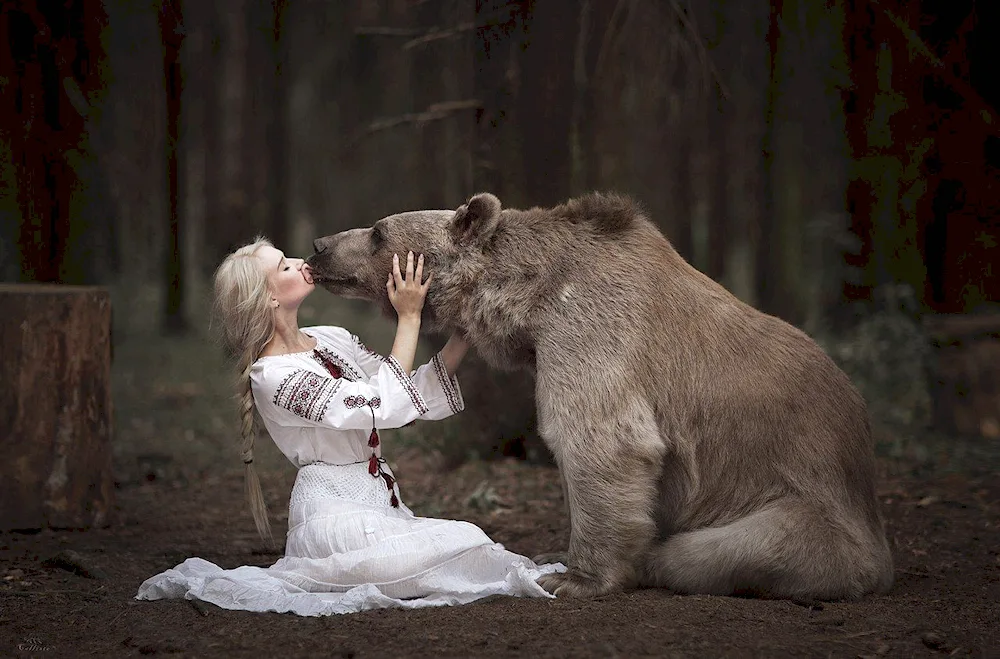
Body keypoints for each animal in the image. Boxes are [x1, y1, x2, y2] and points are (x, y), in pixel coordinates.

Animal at [308, 192, 896, 604]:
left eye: (378, 231)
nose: (319, 245)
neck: (528, 302)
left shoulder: (591, 332)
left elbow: (601, 441)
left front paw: (575, 577)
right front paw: (556, 555)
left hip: (797, 500)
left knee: (714, 550)